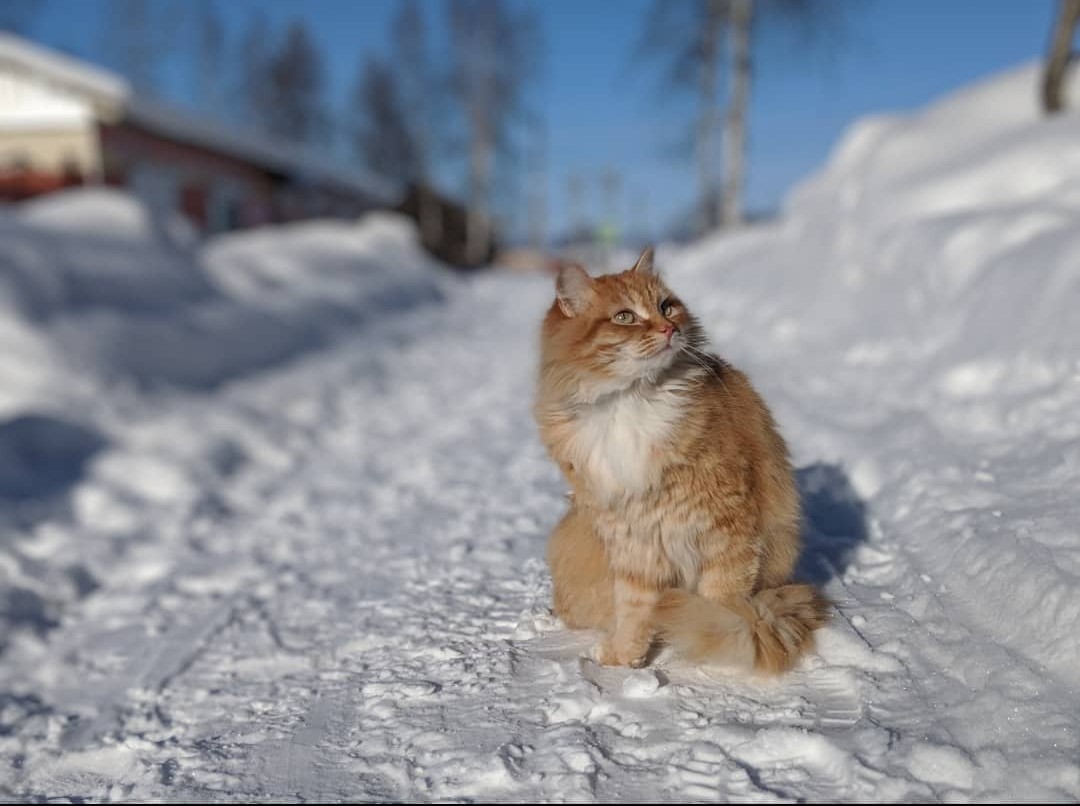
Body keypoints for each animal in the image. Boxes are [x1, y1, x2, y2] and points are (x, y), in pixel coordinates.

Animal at [537, 246, 825, 669]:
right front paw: (624, 660)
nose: (668, 329)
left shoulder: (726, 525)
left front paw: (715, 646)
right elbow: (634, 609)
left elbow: (720, 601)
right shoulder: (632, 539)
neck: (631, 400)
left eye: (666, 306)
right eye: (625, 316)